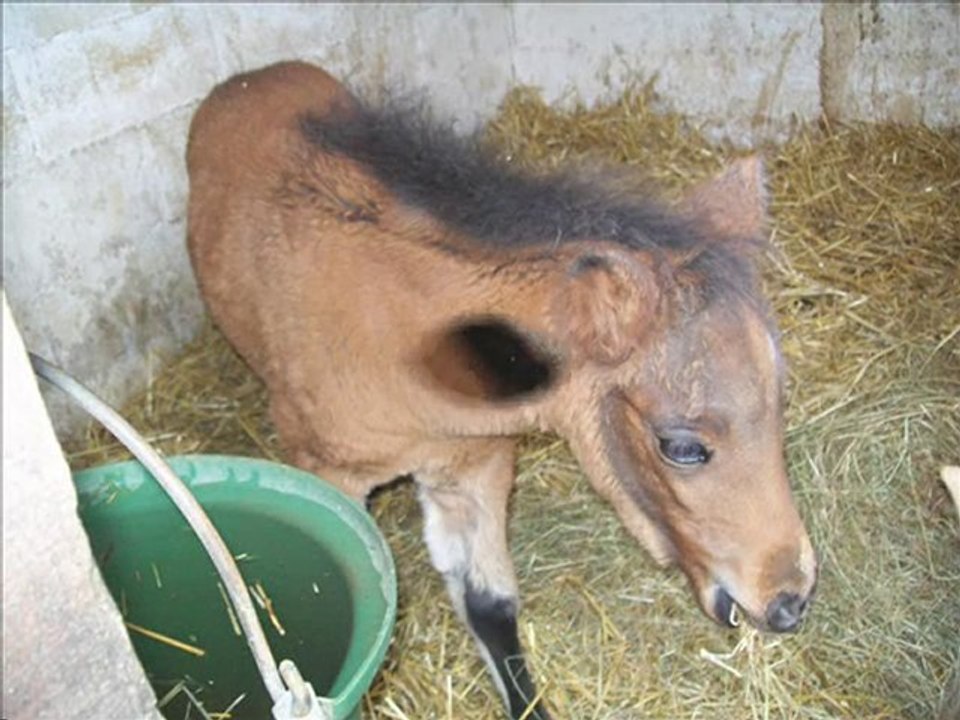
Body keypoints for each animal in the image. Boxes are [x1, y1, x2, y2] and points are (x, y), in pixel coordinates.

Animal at [186, 61, 818, 719]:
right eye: (682, 446)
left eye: (779, 402)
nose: (790, 600)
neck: (410, 356)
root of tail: (251, 77)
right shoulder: (329, 472)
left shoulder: (476, 465)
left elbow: (490, 605)